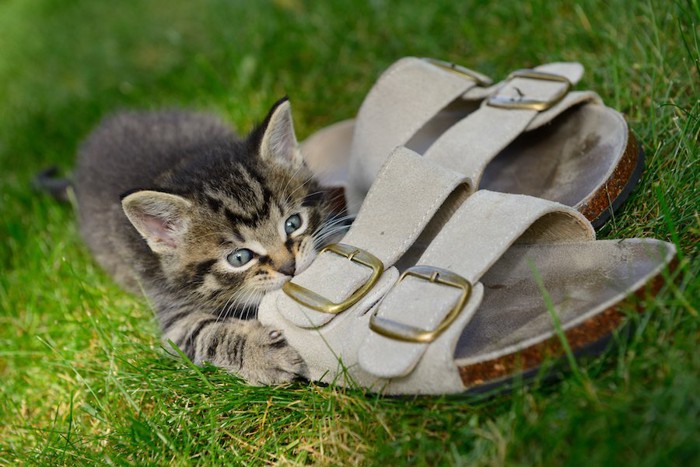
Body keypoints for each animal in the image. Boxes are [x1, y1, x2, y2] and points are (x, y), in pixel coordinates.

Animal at [75, 98, 332, 384]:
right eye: (239, 258)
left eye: (293, 223)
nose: (290, 267)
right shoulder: (173, 315)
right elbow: (208, 335)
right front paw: (262, 354)